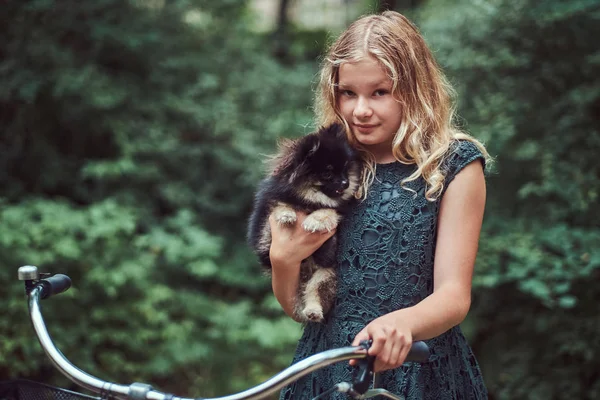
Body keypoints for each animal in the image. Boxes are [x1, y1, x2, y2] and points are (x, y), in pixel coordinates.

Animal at [246, 122, 358, 322]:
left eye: (345, 168)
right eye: (328, 173)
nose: (346, 182)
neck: (307, 201)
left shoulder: (328, 254)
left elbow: (329, 211)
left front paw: (316, 220)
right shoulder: (264, 239)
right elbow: (276, 208)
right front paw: (286, 214)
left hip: (325, 275)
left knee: (314, 291)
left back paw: (313, 310)